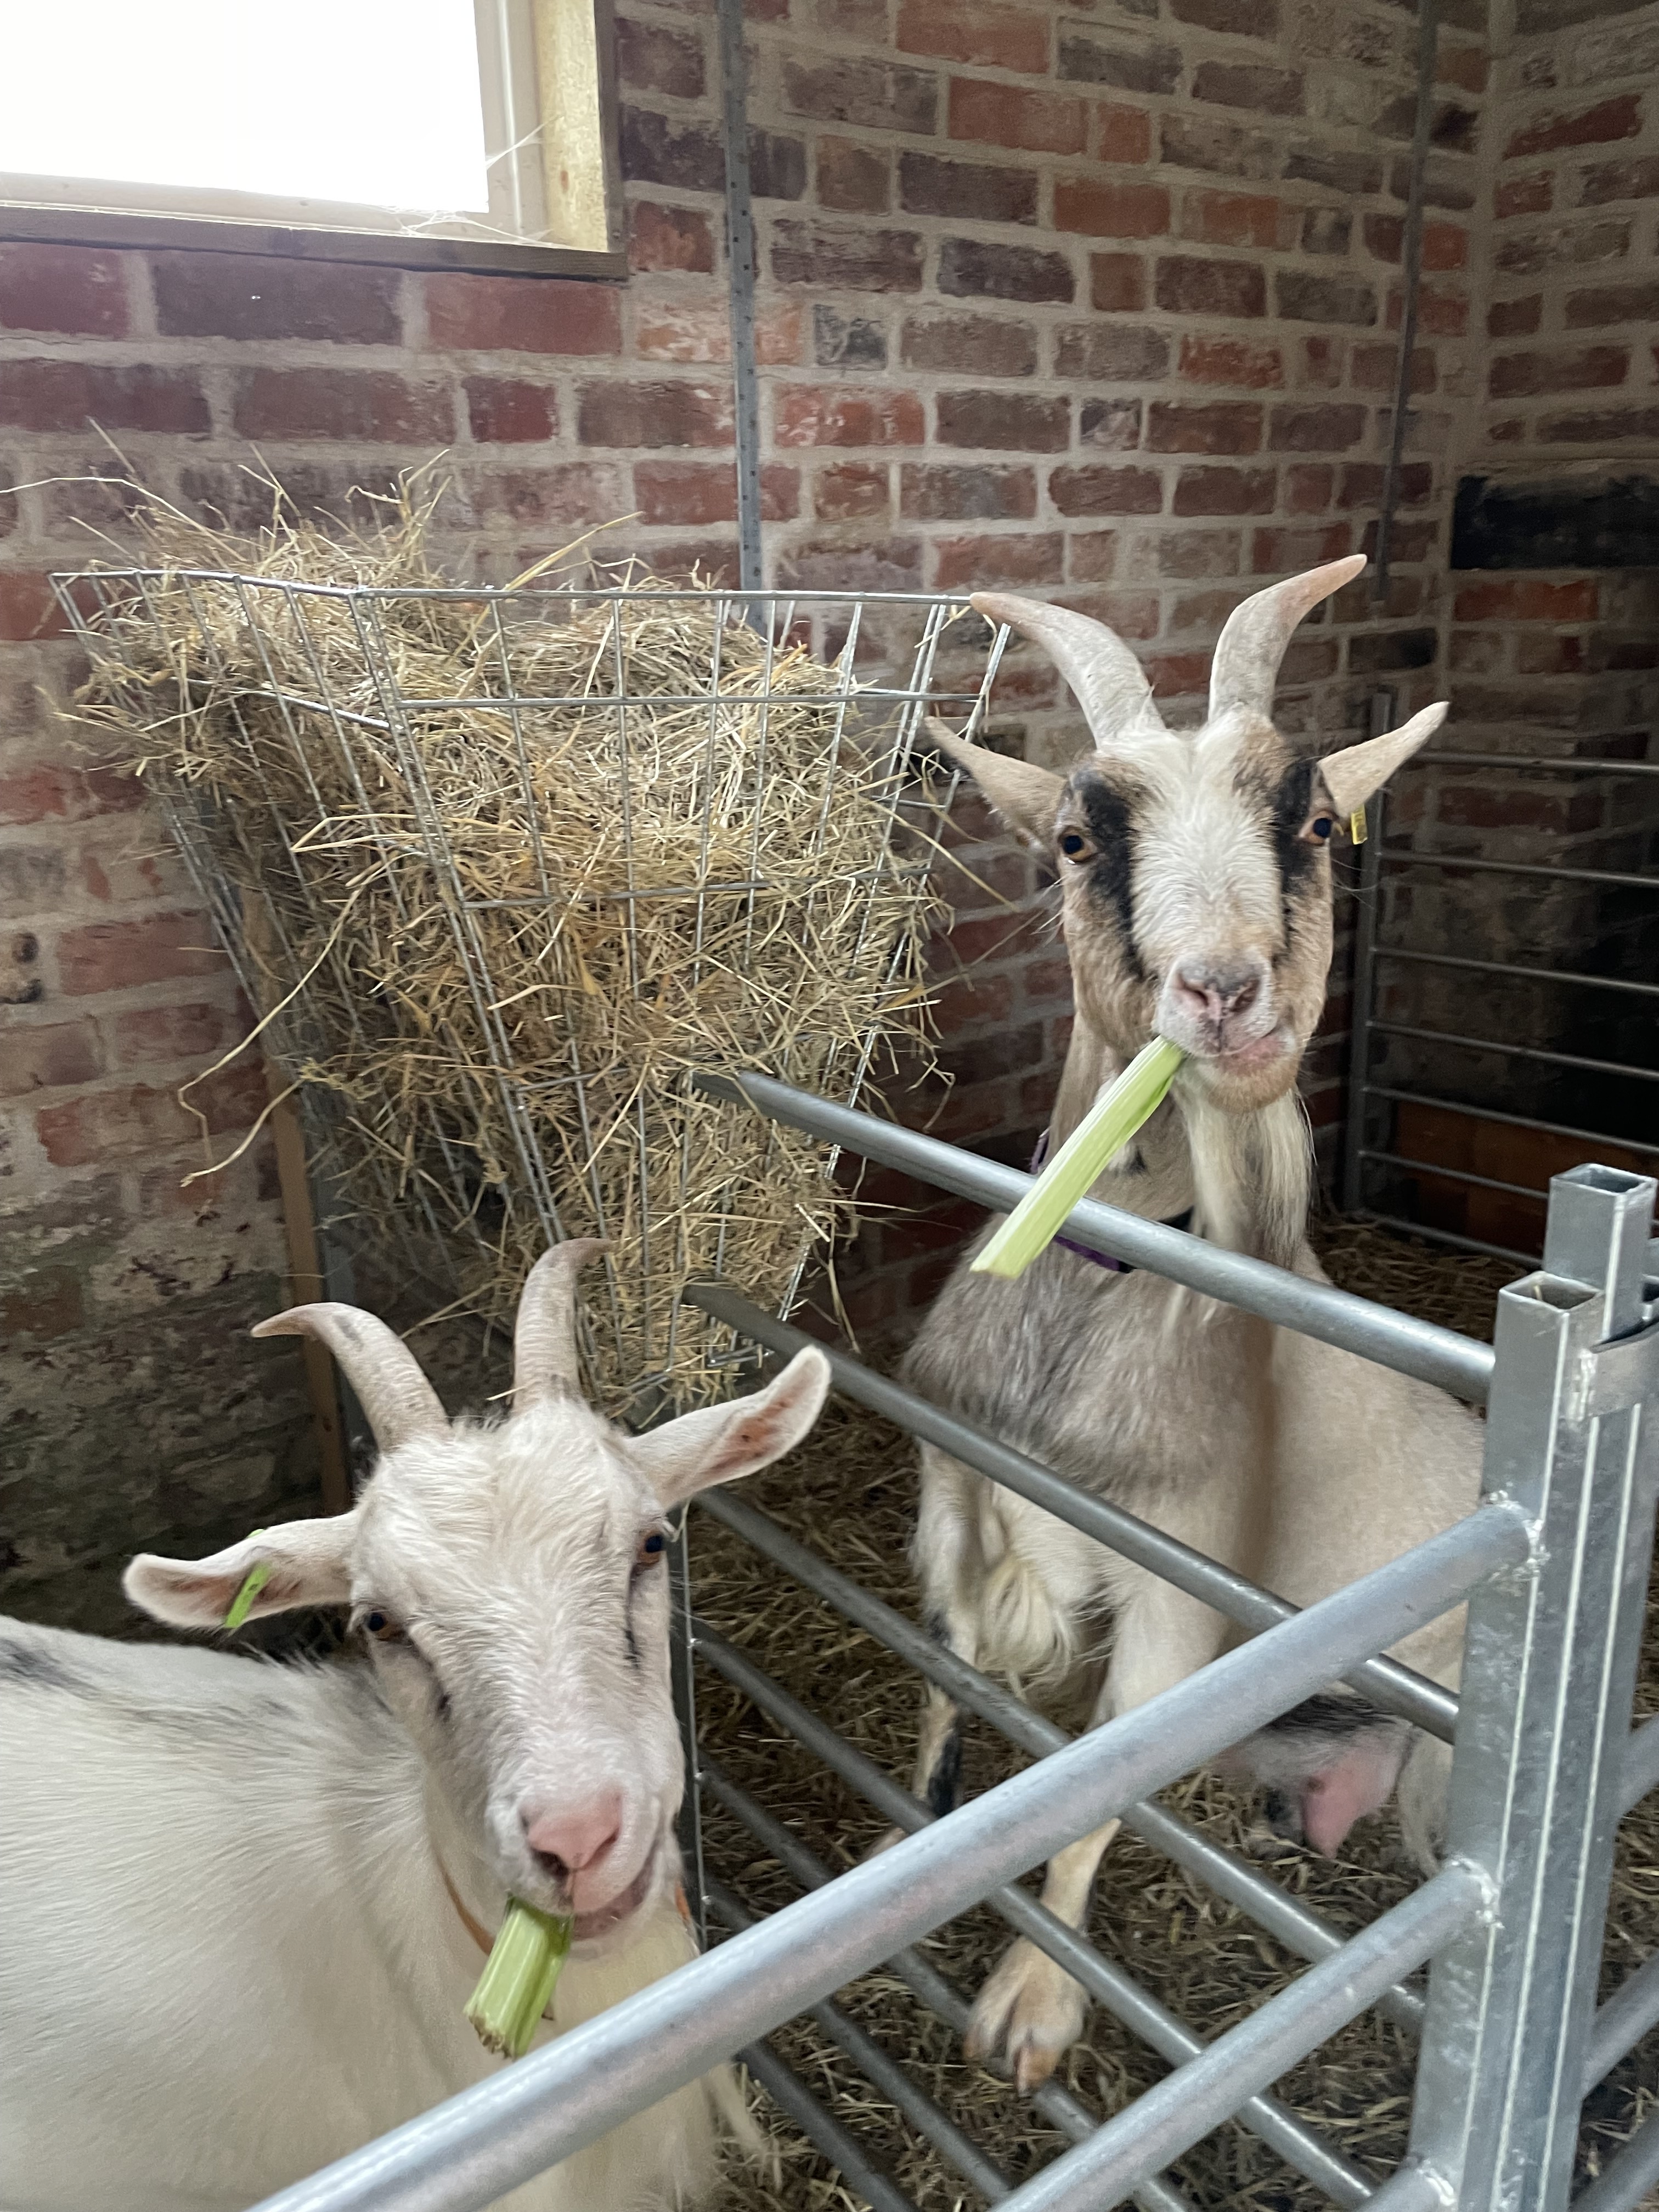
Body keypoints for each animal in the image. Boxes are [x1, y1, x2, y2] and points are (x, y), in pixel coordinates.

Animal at [898, 555, 1484, 2092]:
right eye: (1074, 841)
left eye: (1319, 824)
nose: (1226, 995)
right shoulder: (952, 1499)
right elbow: (949, 1678)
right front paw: (917, 1819)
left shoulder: (1180, 1593)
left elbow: (1093, 1793)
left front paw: (1029, 2015)